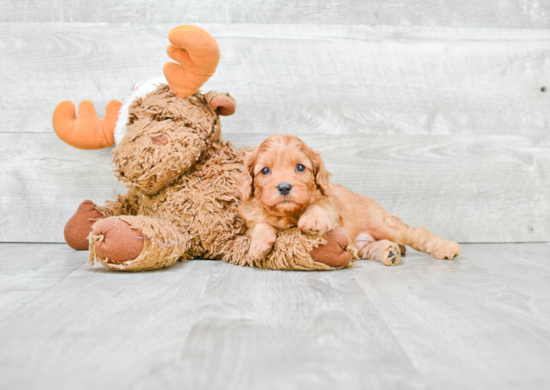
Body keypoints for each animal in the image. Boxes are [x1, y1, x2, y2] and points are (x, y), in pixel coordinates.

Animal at [237, 134, 462, 266]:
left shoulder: (332, 210)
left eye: (300, 167)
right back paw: (388, 252)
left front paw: (313, 219)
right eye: (265, 170)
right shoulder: (251, 221)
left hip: (384, 225)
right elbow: (260, 226)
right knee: (368, 249)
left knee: (416, 232)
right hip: (362, 244)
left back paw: (446, 247)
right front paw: (259, 245)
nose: (284, 187)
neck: (288, 214)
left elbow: (317, 206)